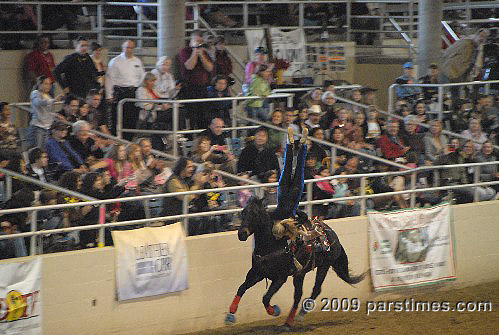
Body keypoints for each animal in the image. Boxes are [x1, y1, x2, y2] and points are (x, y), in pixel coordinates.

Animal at [227, 197, 368, 328]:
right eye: (243, 213)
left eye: (255, 214)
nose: (241, 234)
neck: (273, 244)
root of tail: (333, 236)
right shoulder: (257, 272)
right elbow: (241, 288)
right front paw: (230, 315)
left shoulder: (280, 277)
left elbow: (265, 298)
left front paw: (275, 310)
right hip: (301, 273)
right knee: (298, 295)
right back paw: (289, 321)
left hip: (323, 266)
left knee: (315, 290)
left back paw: (298, 316)